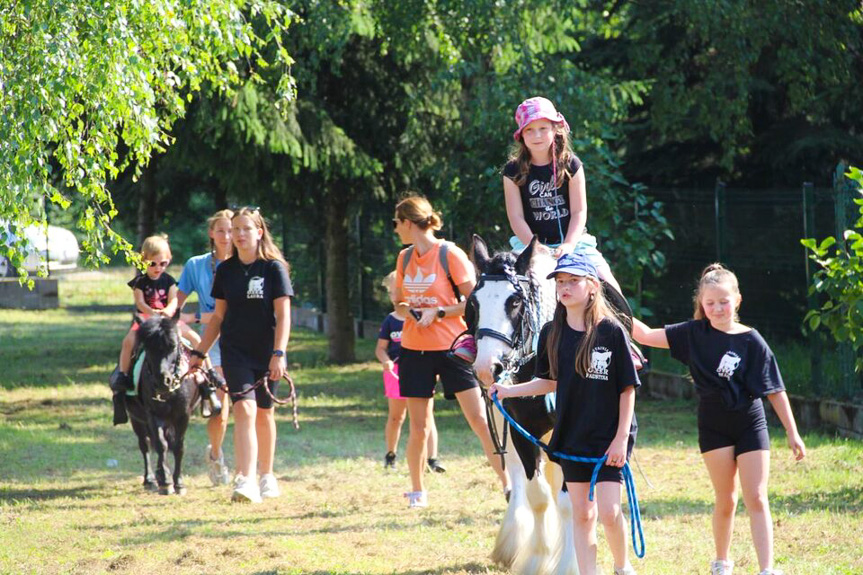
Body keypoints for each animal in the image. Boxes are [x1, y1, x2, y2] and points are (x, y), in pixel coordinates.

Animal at [123, 316, 202, 496]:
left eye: (173, 346)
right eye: (147, 348)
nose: (162, 381)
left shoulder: (183, 415)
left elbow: (178, 446)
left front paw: (178, 483)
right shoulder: (152, 414)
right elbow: (160, 445)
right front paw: (166, 481)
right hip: (137, 419)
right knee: (145, 445)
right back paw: (151, 480)